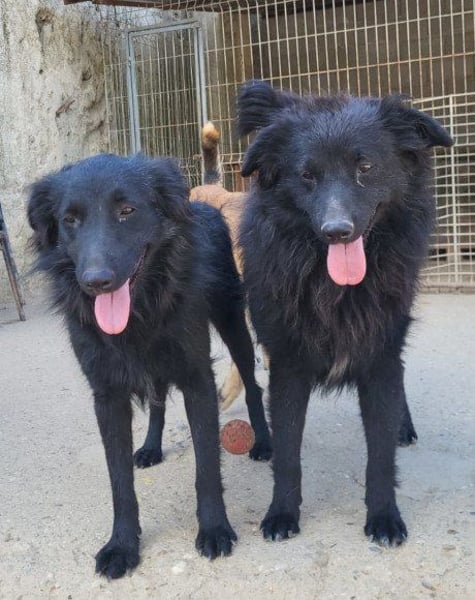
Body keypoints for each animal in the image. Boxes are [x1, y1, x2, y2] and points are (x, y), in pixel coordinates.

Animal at [27, 153, 271, 578]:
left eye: (127, 211)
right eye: (70, 220)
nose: (97, 282)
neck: (140, 310)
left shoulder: (197, 379)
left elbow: (207, 466)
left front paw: (214, 528)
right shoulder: (107, 395)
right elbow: (119, 480)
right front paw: (122, 544)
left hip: (233, 322)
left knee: (251, 380)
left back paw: (263, 441)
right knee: (157, 400)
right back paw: (151, 447)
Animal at [236, 80, 453, 546]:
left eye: (365, 167)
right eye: (307, 175)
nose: (337, 232)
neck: (333, 288)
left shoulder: (381, 357)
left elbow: (381, 454)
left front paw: (384, 516)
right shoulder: (287, 365)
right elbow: (288, 452)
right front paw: (281, 513)